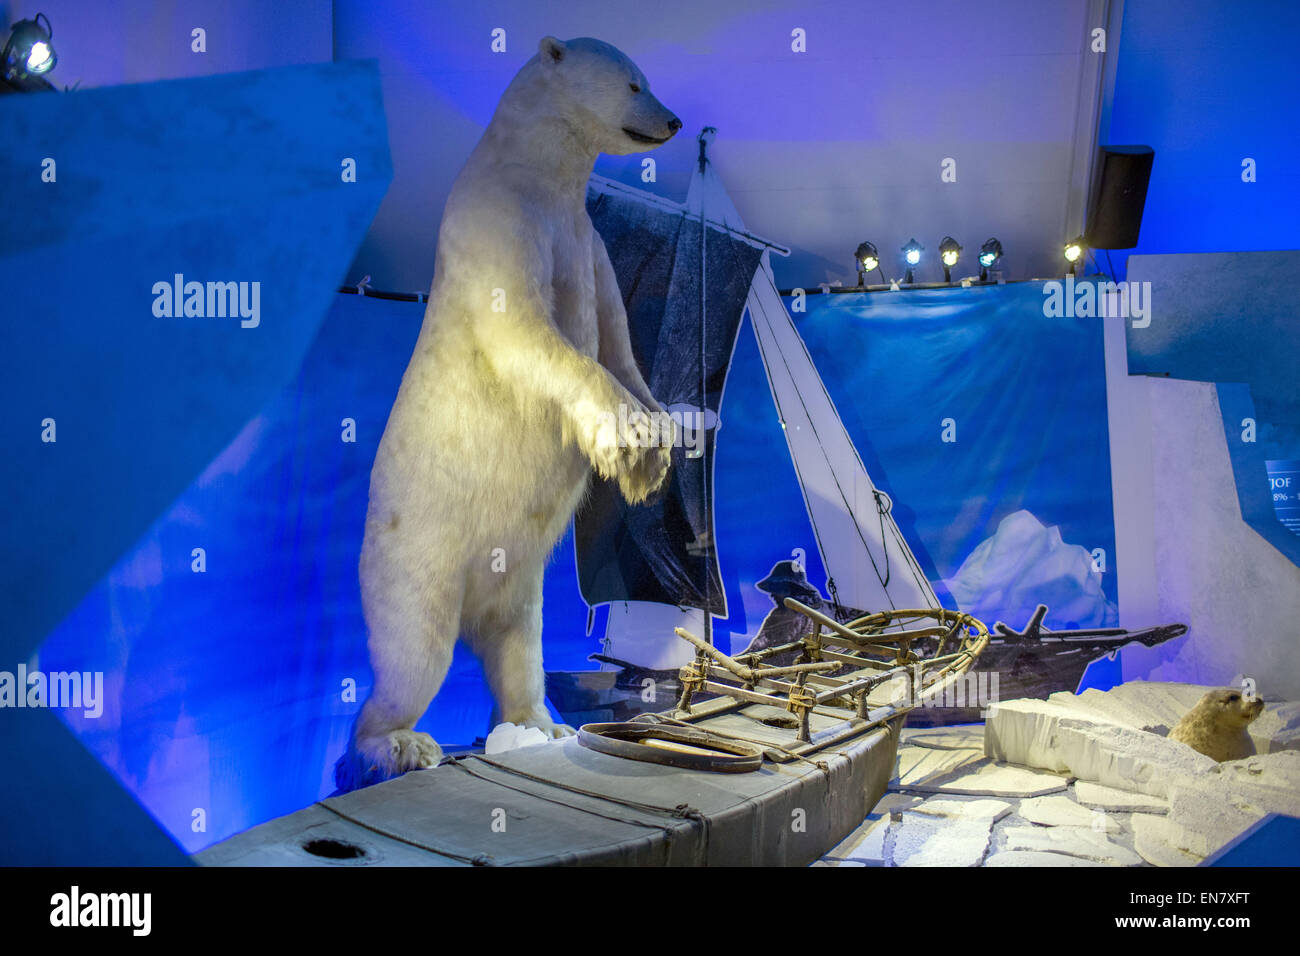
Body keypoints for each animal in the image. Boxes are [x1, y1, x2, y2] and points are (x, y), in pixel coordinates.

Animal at [332, 37, 681, 790]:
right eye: (634, 83)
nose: (672, 121)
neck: (539, 172)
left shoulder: (589, 242)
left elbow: (620, 343)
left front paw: (658, 441)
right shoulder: (500, 217)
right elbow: (526, 328)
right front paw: (628, 441)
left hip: (518, 585)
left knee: (517, 648)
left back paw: (536, 725)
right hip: (416, 558)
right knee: (414, 654)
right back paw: (393, 746)